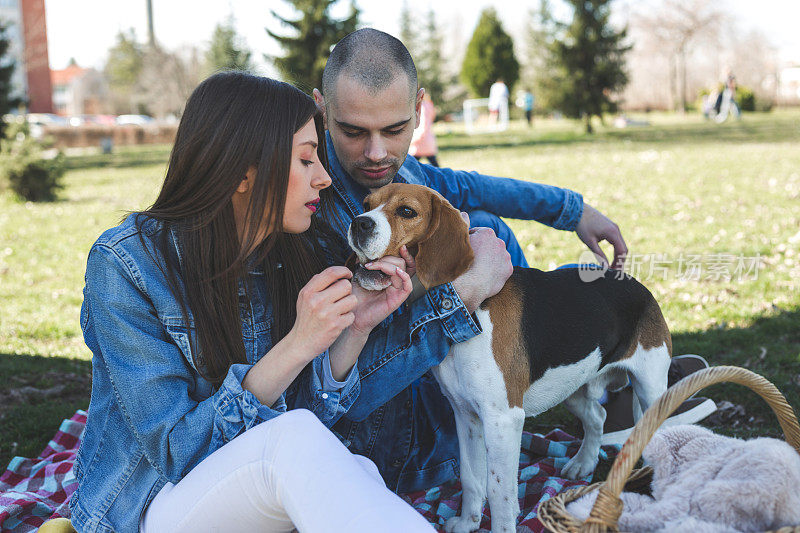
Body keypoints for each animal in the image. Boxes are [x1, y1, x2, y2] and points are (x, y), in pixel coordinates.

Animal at [348, 184, 668, 532]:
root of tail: (637, 285)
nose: (358, 223)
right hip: (569, 386)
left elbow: (499, 492)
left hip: (650, 390)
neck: (470, 310)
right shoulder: (466, 415)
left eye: (407, 211)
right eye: (366, 204)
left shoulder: (502, 420)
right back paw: (583, 463)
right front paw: (468, 522)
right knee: (598, 415)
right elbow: (471, 477)